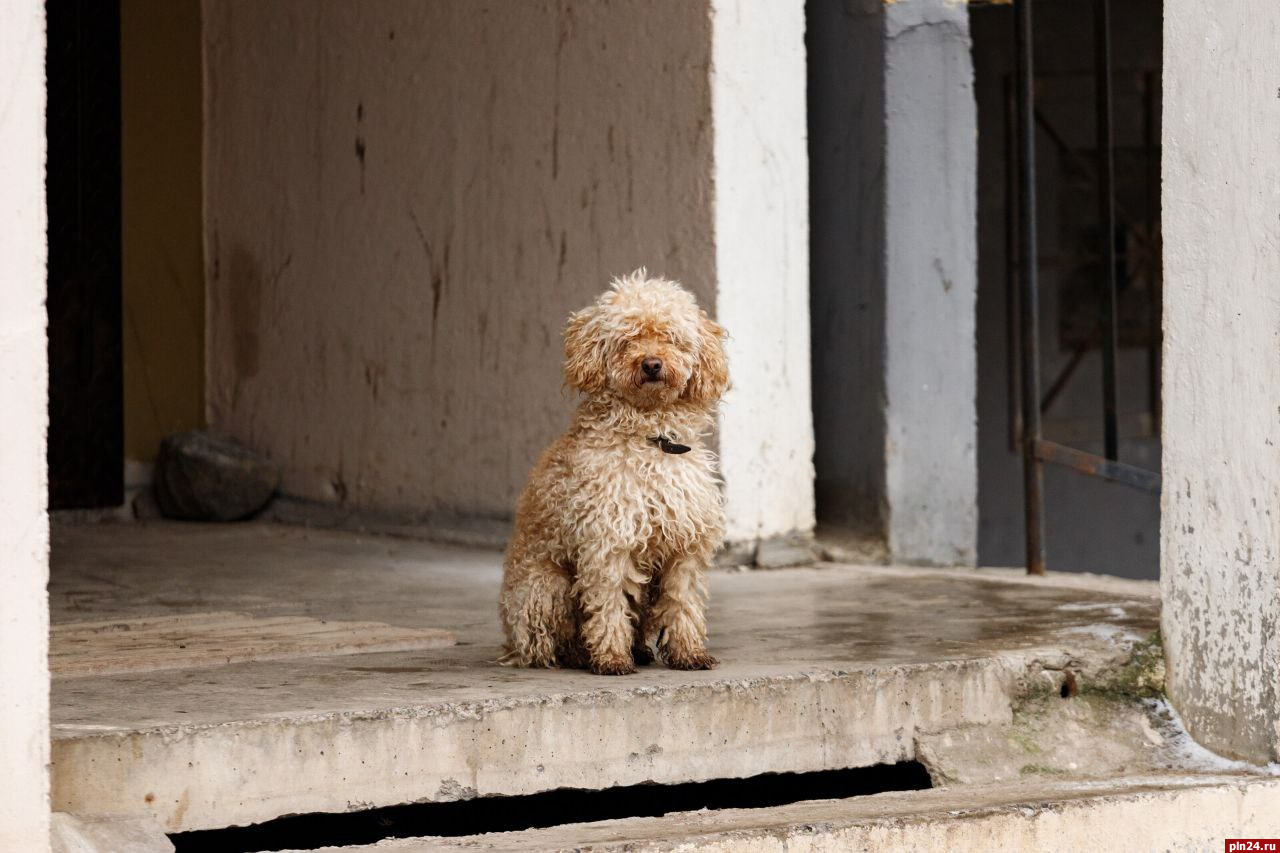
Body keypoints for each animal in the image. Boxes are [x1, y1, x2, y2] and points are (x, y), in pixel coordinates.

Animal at [499, 268, 732, 676]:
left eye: (670, 337)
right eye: (628, 340)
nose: (651, 363)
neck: (653, 439)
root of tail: (510, 641)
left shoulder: (684, 547)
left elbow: (683, 603)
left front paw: (689, 653)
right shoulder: (608, 541)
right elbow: (608, 604)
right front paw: (611, 658)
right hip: (546, 588)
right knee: (550, 643)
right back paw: (581, 654)